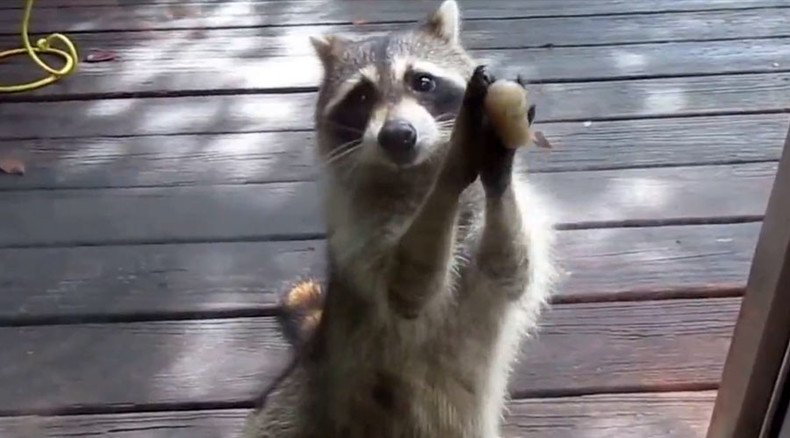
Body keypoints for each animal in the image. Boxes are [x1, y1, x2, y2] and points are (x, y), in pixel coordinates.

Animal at [244, 1, 560, 436]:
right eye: (361, 95)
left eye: (422, 82)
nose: (397, 135)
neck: (414, 176)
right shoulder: (358, 232)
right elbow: (407, 286)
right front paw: (456, 157)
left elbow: (510, 266)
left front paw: (497, 162)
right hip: (300, 398)